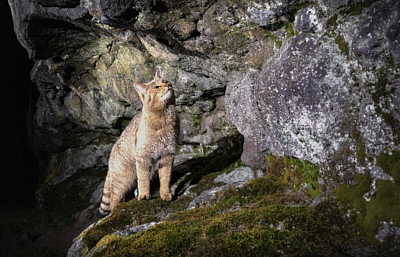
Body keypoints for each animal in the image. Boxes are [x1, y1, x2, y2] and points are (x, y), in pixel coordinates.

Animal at [98, 72, 178, 214]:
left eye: (165, 80)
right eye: (156, 87)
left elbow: (165, 177)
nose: (168, 84)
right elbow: (143, 179)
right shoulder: (143, 156)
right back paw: (116, 209)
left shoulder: (167, 154)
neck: (164, 114)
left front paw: (166, 194)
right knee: (114, 197)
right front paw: (144, 195)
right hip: (124, 179)